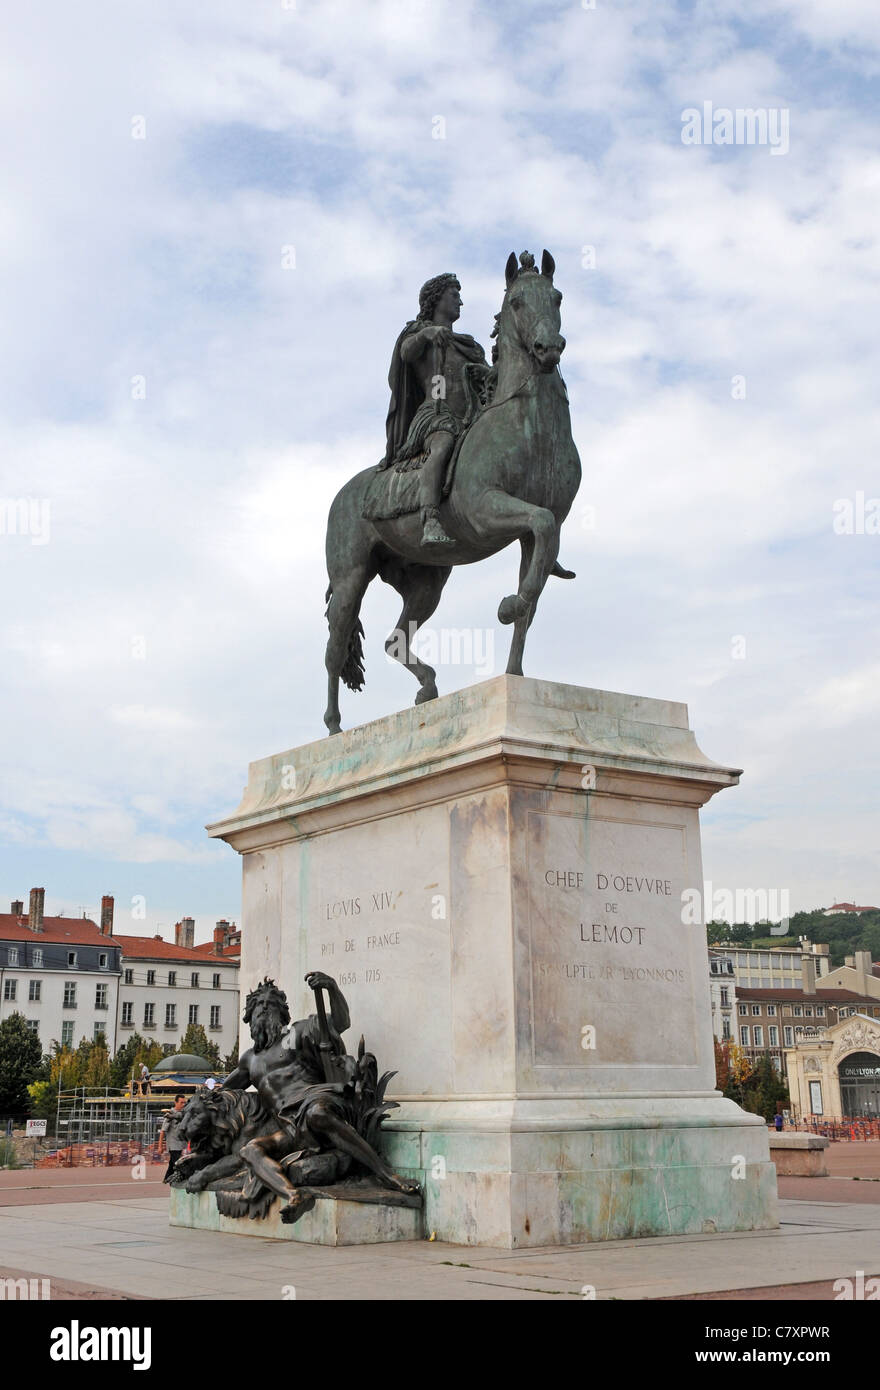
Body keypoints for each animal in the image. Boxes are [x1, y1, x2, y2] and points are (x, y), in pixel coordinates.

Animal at [322, 247, 583, 739]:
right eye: (516, 302)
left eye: (558, 297)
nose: (548, 349)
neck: (530, 428)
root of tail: (345, 494)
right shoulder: (487, 510)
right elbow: (534, 540)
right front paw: (508, 605)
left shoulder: (541, 531)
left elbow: (536, 582)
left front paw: (515, 671)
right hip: (350, 578)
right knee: (334, 648)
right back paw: (333, 728)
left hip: (426, 583)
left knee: (395, 639)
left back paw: (426, 687)